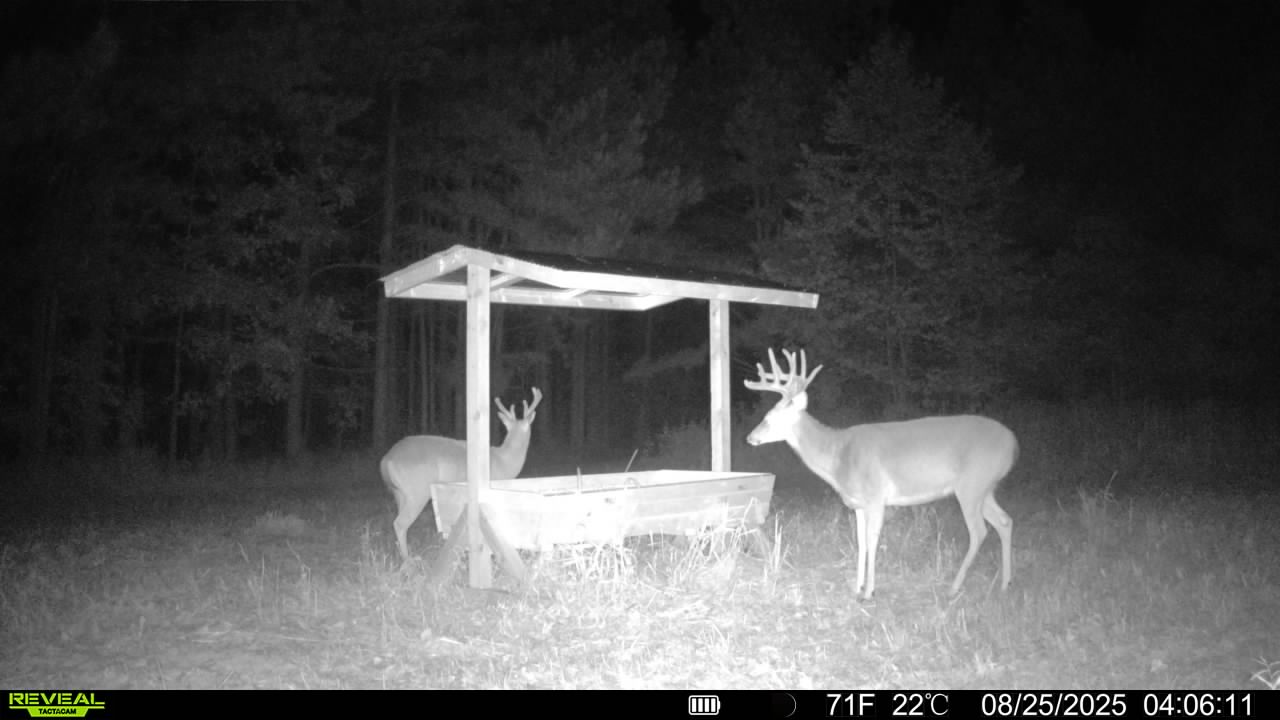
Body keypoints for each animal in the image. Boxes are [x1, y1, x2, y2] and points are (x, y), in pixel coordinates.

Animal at [379, 387, 542, 562]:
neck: (504, 461)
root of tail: (386, 460)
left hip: (399, 493)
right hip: (417, 490)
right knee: (400, 523)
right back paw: (408, 560)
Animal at [744, 348, 1017, 599]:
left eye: (770, 417)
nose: (750, 437)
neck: (839, 456)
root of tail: (1014, 444)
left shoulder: (876, 497)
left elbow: (872, 540)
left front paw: (869, 592)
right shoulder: (858, 504)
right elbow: (861, 542)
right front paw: (857, 587)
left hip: (972, 485)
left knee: (979, 531)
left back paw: (954, 587)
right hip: (986, 489)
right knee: (1005, 521)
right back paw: (1004, 584)